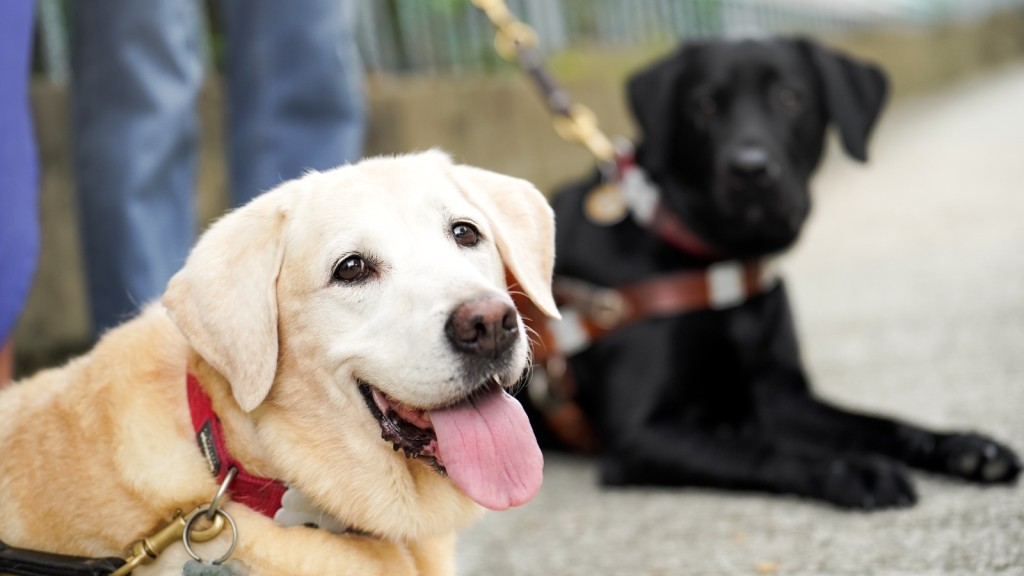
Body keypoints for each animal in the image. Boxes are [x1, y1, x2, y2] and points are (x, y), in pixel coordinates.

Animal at [528, 38, 1024, 508]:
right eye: (704, 105)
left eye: (790, 97)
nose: (751, 171)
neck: (723, 265)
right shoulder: (641, 433)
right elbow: (764, 450)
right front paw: (856, 469)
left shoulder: (780, 395)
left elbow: (876, 422)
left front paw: (961, 445)